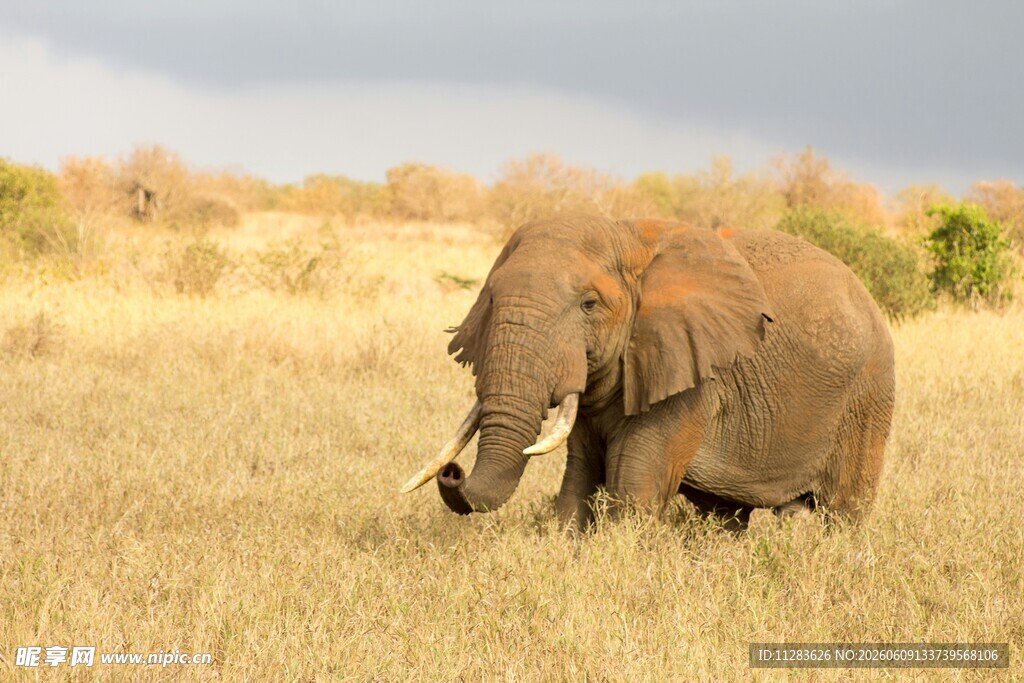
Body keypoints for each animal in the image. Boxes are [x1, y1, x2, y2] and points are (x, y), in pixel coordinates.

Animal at [401, 215, 895, 531]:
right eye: (489, 298)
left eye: (589, 305)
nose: (452, 472)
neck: (628, 234)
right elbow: (578, 480)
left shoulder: (694, 375)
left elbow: (634, 489)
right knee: (728, 517)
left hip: (867, 400)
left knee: (843, 513)